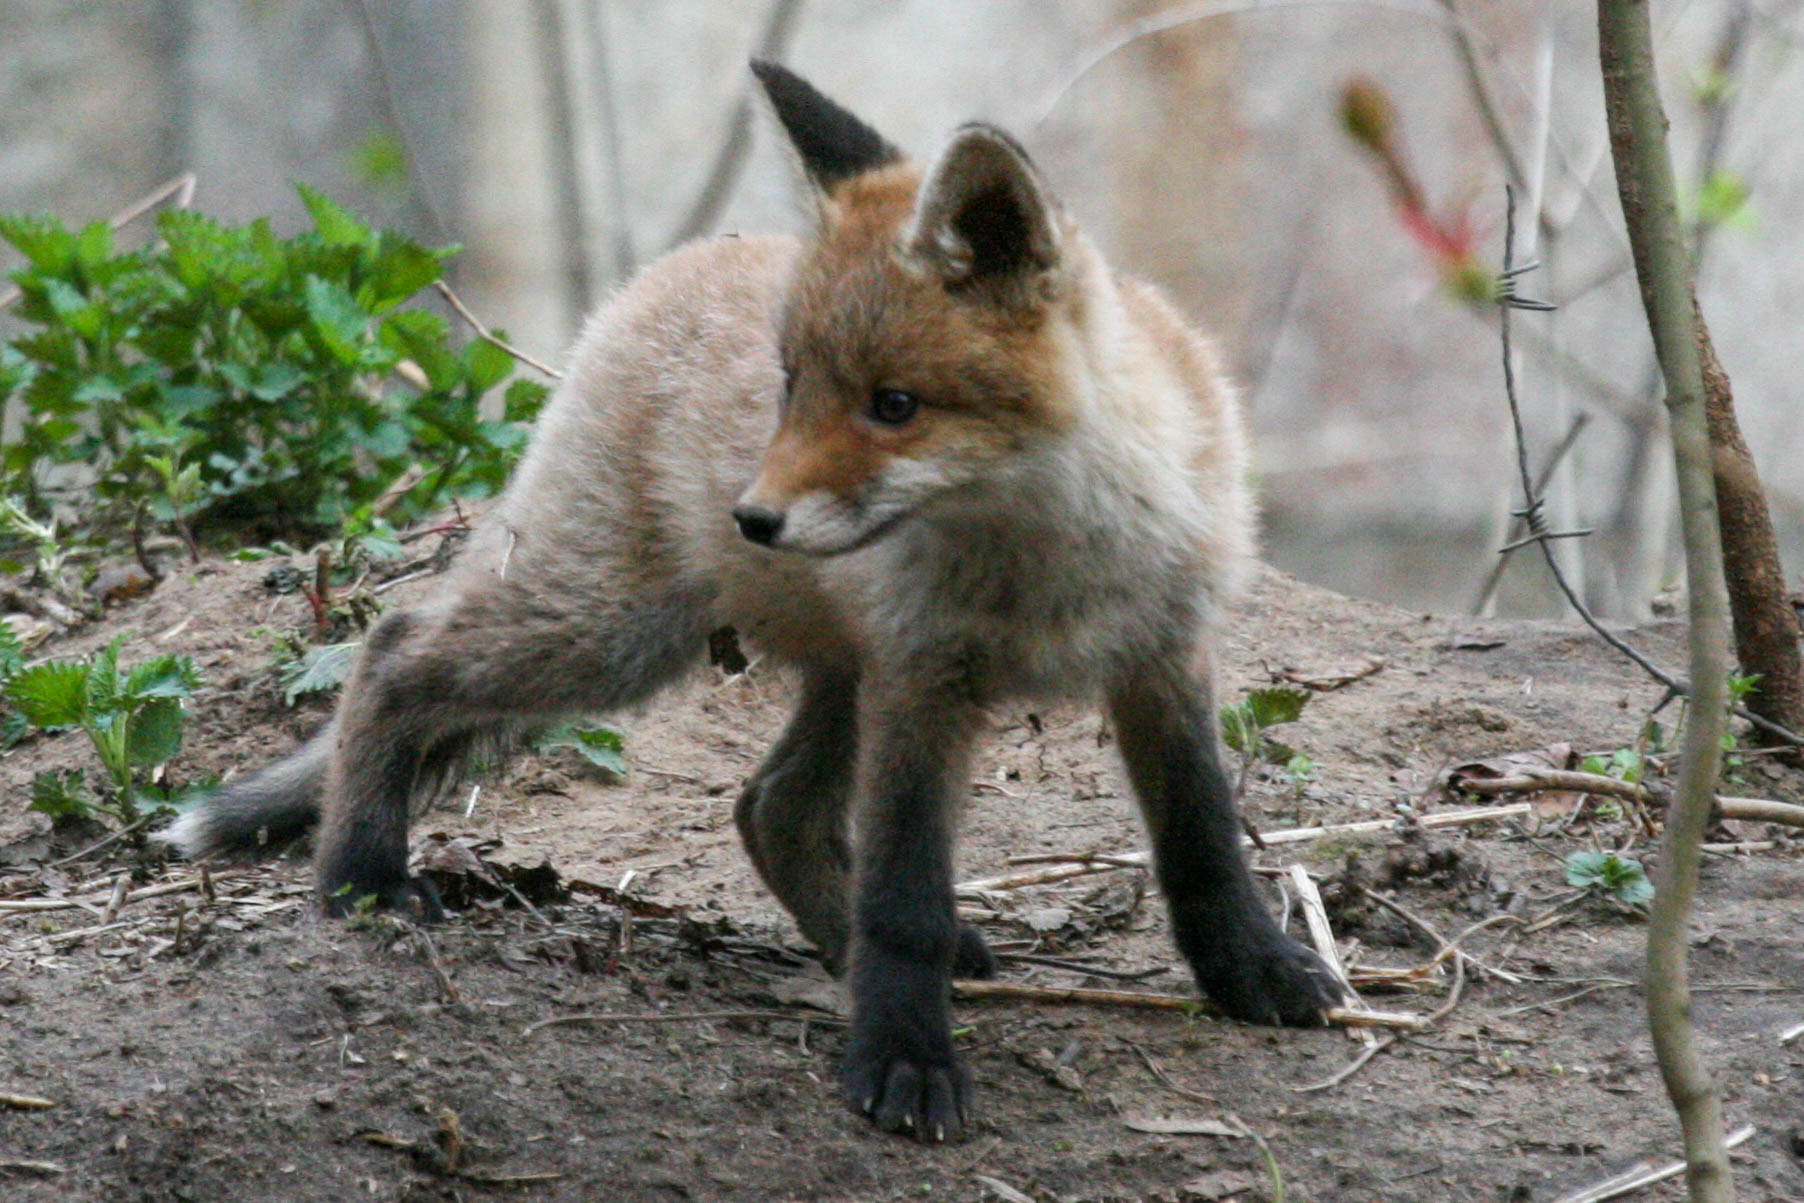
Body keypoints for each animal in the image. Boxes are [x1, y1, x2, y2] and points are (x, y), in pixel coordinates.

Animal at [165, 61, 1342, 1147]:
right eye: (790, 384)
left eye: (894, 405)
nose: (754, 519)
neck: (1051, 553)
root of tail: (671, 267)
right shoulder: (924, 678)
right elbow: (906, 898)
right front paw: (905, 1057)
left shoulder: (1160, 652)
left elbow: (1202, 839)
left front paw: (1256, 970)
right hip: (617, 635)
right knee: (395, 644)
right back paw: (361, 874)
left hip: (826, 672)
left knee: (769, 807)